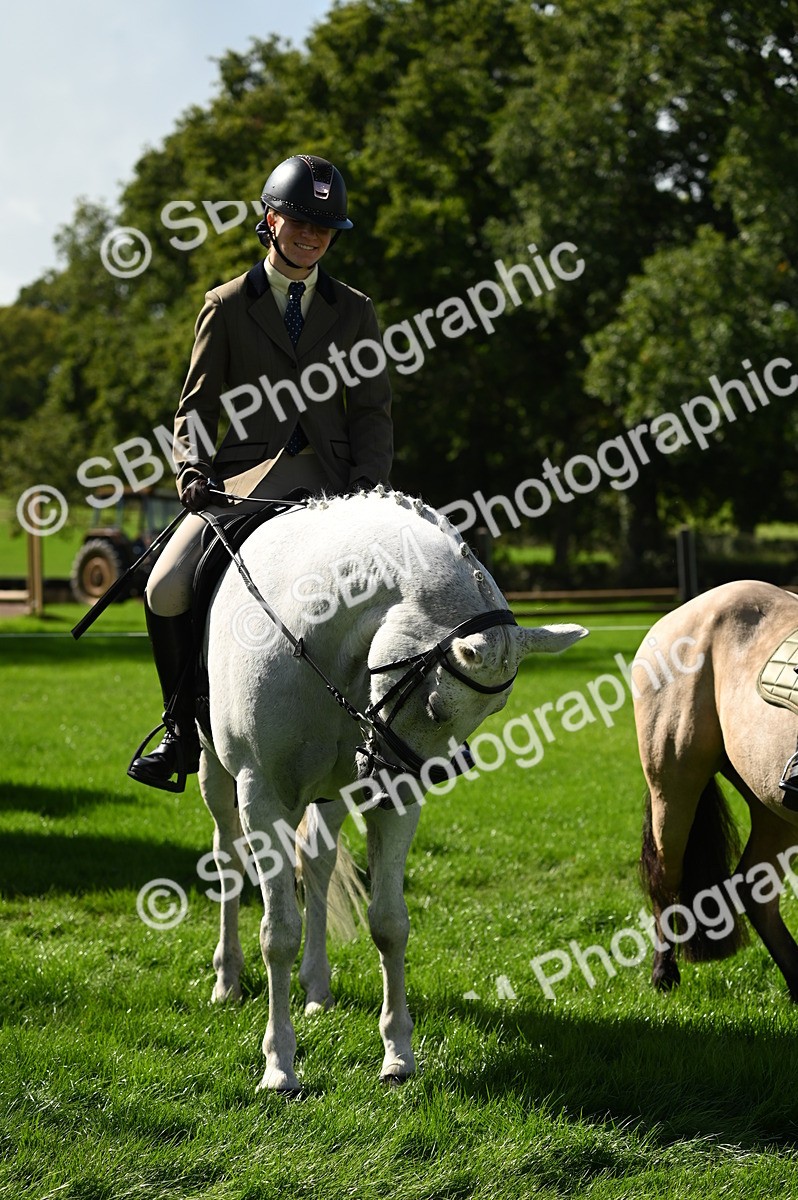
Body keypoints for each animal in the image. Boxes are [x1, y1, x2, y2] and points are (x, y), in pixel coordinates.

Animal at [197, 488, 587, 1092]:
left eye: (493, 712)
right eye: (436, 707)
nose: (391, 782)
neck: (313, 638)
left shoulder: (391, 802)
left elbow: (389, 924)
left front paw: (398, 1054)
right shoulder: (260, 795)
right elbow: (278, 931)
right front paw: (280, 1065)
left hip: (330, 793)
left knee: (317, 863)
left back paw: (317, 989)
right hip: (217, 773)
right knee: (228, 860)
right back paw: (227, 982)